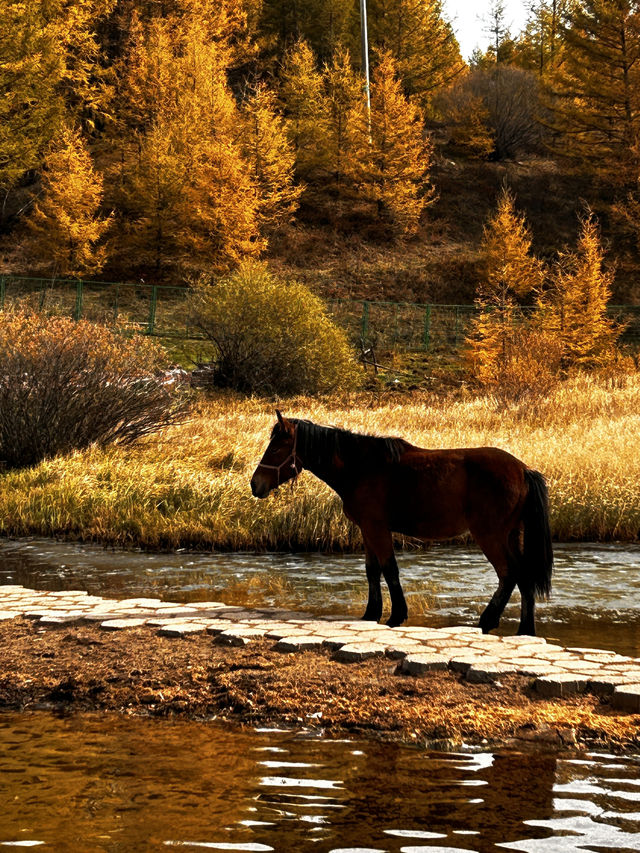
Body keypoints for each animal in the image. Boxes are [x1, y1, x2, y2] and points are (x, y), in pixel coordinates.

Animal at [252, 410, 552, 636]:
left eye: (276, 447)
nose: (255, 484)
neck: (360, 467)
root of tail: (523, 469)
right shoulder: (367, 530)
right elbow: (372, 571)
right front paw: (371, 613)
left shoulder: (377, 529)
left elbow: (390, 570)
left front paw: (396, 615)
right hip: (510, 535)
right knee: (523, 576)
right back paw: (524, 629)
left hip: (490, 536)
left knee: (508, 574)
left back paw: (488, 621)